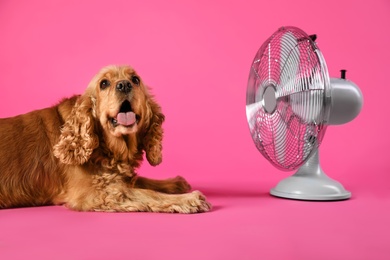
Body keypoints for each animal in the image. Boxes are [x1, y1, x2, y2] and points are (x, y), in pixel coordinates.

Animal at [0, 65, 212, 213]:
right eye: (104, 83)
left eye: (135, 79)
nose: (124, 84)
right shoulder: (95, 194)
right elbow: (146, 193)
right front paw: (188, 199)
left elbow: (140, 181)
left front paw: (175, 183)